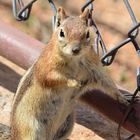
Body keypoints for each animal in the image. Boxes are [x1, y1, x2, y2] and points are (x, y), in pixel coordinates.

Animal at [10, 7, 129, 140]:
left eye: (87, 34)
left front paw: (123, 98)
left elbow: (107, 82)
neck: (75, 60)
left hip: (68, 124)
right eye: (62, 33)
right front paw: (73, 82)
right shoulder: (46, 67)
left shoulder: (94, 70)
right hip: (30, 130)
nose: (76, 49)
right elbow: (51, 77)